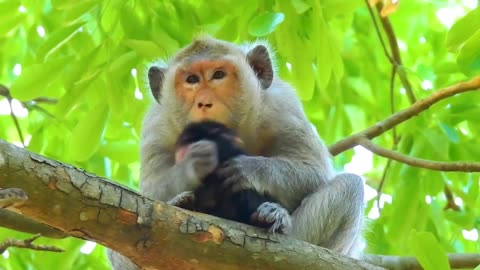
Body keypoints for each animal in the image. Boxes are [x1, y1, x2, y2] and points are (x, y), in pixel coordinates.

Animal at [108, 35, 364, 270]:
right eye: (191, 80)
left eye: (218, 75)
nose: (204, 103)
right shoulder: (156, 126)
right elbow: (150, 197)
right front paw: (193, 164)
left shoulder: (283, 106)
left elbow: (314, 173)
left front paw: (248, 168)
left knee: (349, 187)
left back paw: (275, 219)